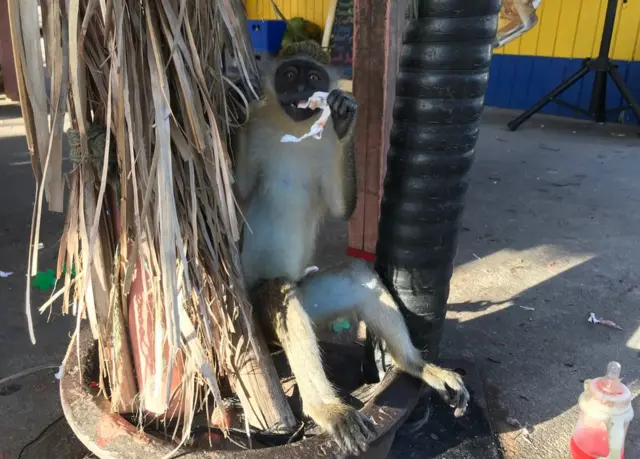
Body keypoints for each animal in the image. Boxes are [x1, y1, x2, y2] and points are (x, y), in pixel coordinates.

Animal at [230, 41, 469, 456]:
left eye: (313, 77)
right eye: (289, 75)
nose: (300, 92)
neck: (293, 130)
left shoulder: (326, 147)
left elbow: (343, 208)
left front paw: (344, 119)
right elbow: (239, 191)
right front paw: (240, 102)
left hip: (311, 302)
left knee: (357, 276)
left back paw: (415, 365)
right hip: (255, 315)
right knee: (277, 293)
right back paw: (327, 409)